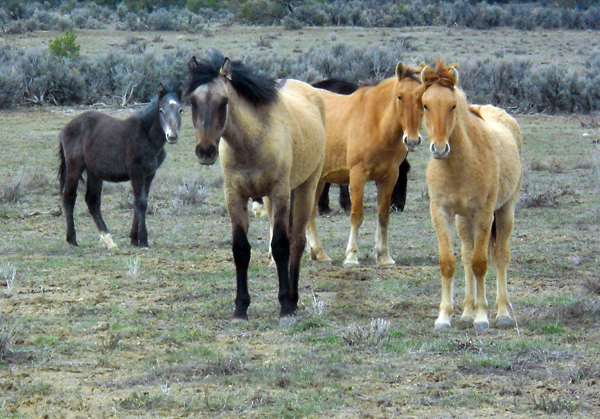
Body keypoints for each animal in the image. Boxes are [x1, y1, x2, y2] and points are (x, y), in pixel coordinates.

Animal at [58, 83, 183, 249]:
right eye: (161, 110)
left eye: (180, 110)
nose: (172, 136)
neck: (147, 136)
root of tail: (65, 128)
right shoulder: (136, 172)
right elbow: (141, 203)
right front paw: (143, 240)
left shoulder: (150, 174)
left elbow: (140, 202)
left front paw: (134, 239)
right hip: (75, 167)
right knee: (69, 197)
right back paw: (72, 239)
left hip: (94, 172)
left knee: (92, 201)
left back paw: (108, 240)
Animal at [189, 51, 326, 322]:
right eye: (192, 101)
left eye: (223, 101)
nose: (205, 151)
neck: (250, 143)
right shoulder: (235, 196)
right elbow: (241, 249)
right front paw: (241, 308)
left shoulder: (280, 192)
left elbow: (281, 246)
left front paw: (285, 305)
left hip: (306, 188)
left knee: (297, 242)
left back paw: (294, 299)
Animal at [308, 64, 424, 270]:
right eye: (400, 96)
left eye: (422, 97)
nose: (412, 140)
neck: (376, 122)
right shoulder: (358, 175)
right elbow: (357, 216)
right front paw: (351, 257)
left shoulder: (388, 177)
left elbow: (383, 216)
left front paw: (384, 256)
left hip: (318, 179)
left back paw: (319, 253)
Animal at [420, 60, 524, 332]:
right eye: (425, 104)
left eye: (453, 105)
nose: (439, 148)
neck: (459, 165)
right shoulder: (442, 213)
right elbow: (449, 263)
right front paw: (444, 317)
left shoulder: (484, 214)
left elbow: (481, 263)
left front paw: (482, 317)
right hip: (463, 220)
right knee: (466, 256)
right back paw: (467, 311)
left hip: (505, 211)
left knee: (500, 256)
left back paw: (501, 313)